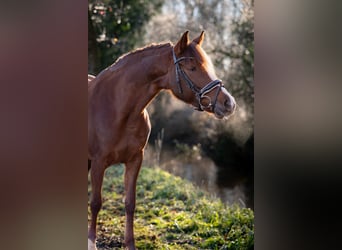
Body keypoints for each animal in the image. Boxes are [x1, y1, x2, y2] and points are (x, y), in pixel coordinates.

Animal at [88, 31, 236, 250]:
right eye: (192, 68)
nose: (229, 103)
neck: (117, 108)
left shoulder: (135, 160)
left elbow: (130, 203)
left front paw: (130, 244)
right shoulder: (99, 162)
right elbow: (96, 203)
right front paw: (91, 242)